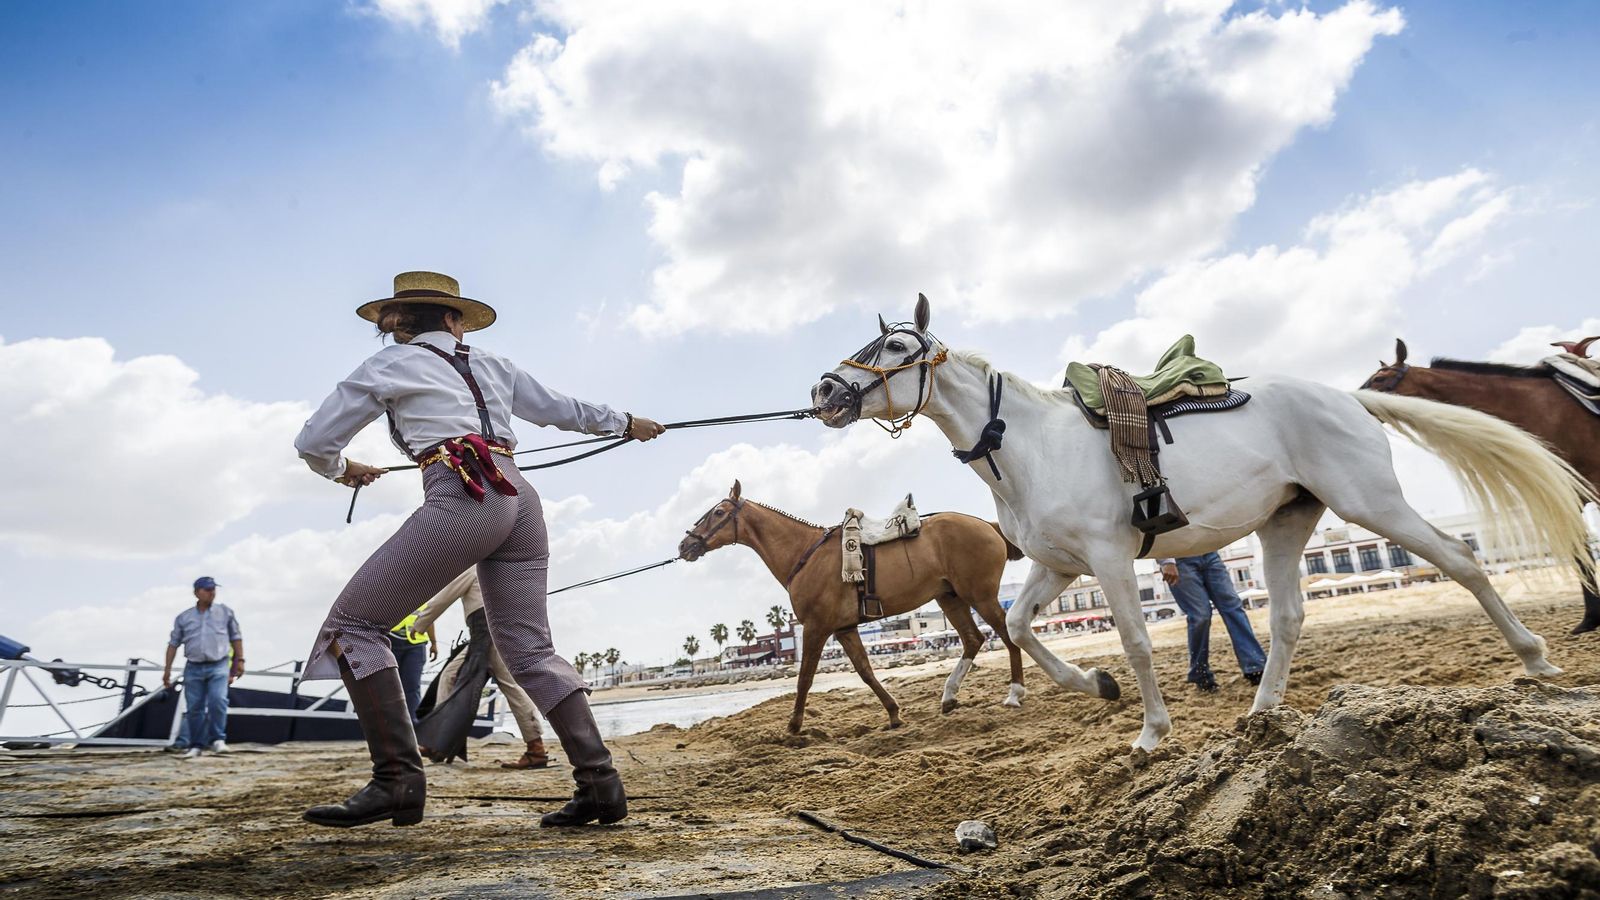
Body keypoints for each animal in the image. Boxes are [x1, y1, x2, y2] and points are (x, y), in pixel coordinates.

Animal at [677, 480, 1034, 734]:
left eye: (718, 513)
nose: (685, 544)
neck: (804, 553)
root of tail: (986, 525)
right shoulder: (845, 629)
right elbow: (865, 671)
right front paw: (893, 713)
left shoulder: (816, 628)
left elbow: (804, 678)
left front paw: (793, 726)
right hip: (950, 598)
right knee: (974, 639)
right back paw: (949, 697)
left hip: (979, 595)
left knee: (1006, 635)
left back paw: (1015, 692)